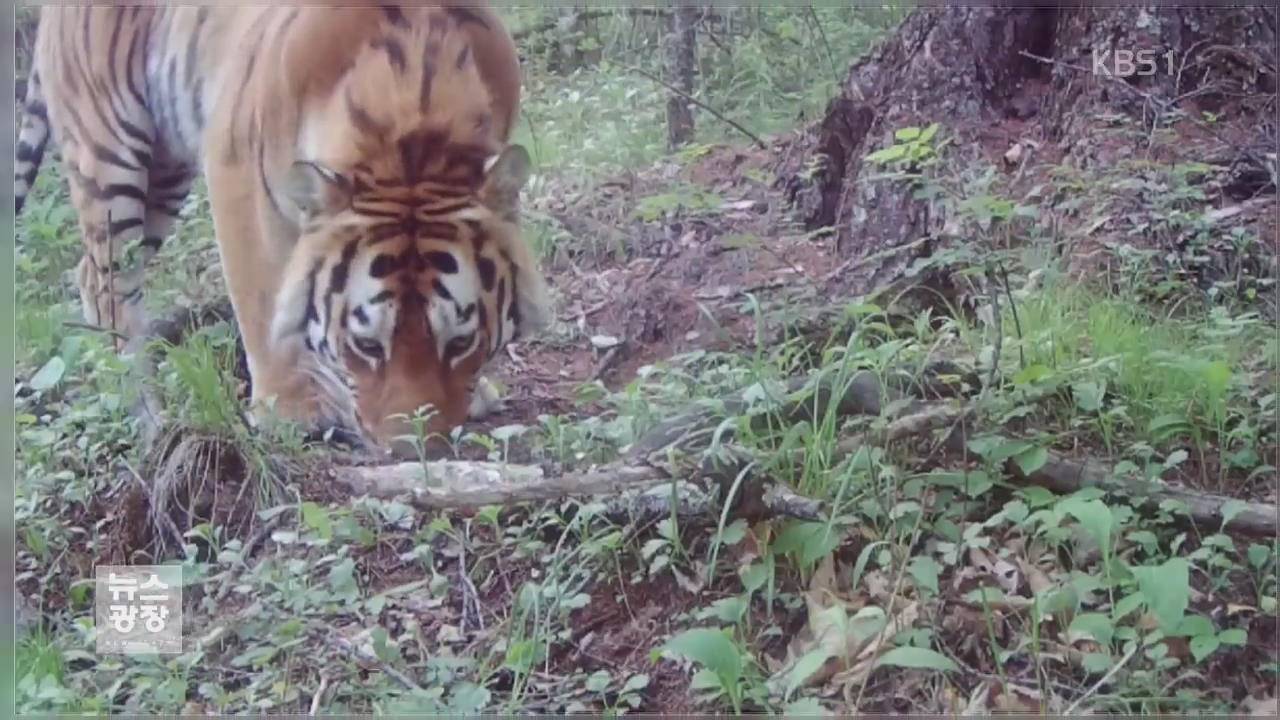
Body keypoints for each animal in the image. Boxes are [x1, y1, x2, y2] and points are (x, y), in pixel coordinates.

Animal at [13, 7, 555, 448]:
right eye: (366, 345)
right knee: (109, 284)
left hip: (164, 175)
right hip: (110, 152)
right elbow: (262, 299)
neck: (414, 133)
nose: (413, 450)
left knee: (87, 275)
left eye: (461, 342)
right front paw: (294, 411)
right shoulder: (235, 172)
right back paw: (145, 414)